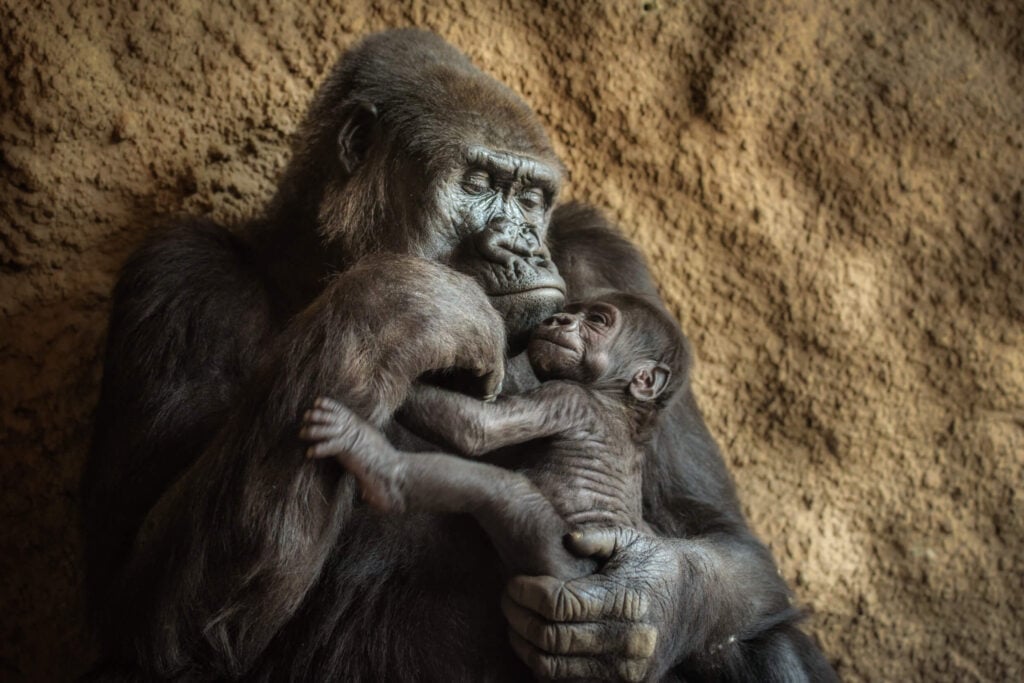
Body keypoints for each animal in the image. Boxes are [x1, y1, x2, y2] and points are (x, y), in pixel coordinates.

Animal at [301, 290, 688, 581]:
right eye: (569, 312)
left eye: (597, 321)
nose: (560, 320)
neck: (619, 399)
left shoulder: (567, 397)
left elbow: (478, 429)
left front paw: (401, 355)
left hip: (564, 563)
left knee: (500, 492)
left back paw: (378, 467)